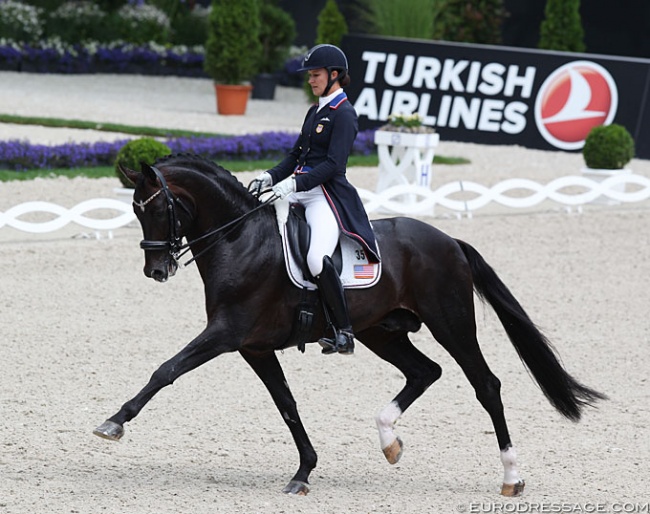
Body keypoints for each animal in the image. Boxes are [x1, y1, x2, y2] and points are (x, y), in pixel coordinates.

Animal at [93, 154, 604, 494]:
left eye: (157, 208)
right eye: (135, 210)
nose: (156, 270)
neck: (240, 239)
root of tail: (449, 241)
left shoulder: (226, 334)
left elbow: (166, 369)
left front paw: (113, 423)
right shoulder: (254, 346)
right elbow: (287, 404)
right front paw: (304, 471)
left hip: (452, 324)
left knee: (486, 385)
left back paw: (512, 477)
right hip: (382, 331)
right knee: (425, 372)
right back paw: (389, 441)